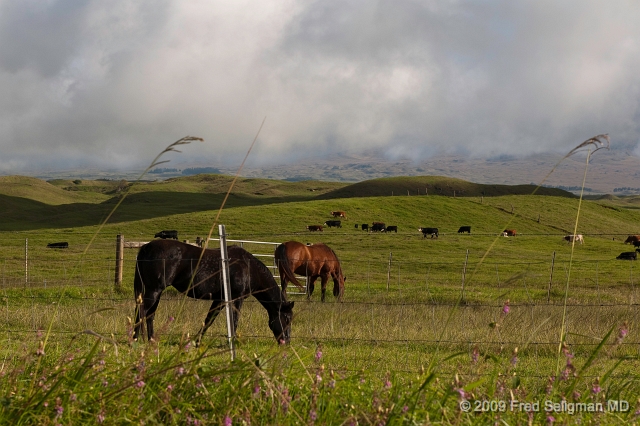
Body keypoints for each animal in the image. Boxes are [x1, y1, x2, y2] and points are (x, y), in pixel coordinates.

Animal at [136, 240, 296, 346]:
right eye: (287, 318)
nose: (287, 342)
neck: (248, 267)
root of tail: (146, 247)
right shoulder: (237, 298)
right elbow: (234, 320)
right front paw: (231, 343)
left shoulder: (219, 300)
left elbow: (209, 320)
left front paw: (197, 341)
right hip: (154, 290)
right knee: (141, 312)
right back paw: (135, 339)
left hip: (157, 291)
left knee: (150, 315)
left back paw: (151, 340)